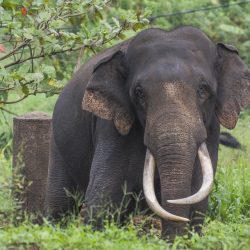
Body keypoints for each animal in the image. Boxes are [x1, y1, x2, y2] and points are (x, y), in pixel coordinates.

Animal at [45, 26, 250, 237]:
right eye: (139, 93)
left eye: (203, 89)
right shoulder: (112, 127)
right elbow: (103, 195)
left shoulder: (212, 127)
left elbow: (198, 194)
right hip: (57, 142)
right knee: (60, 202)